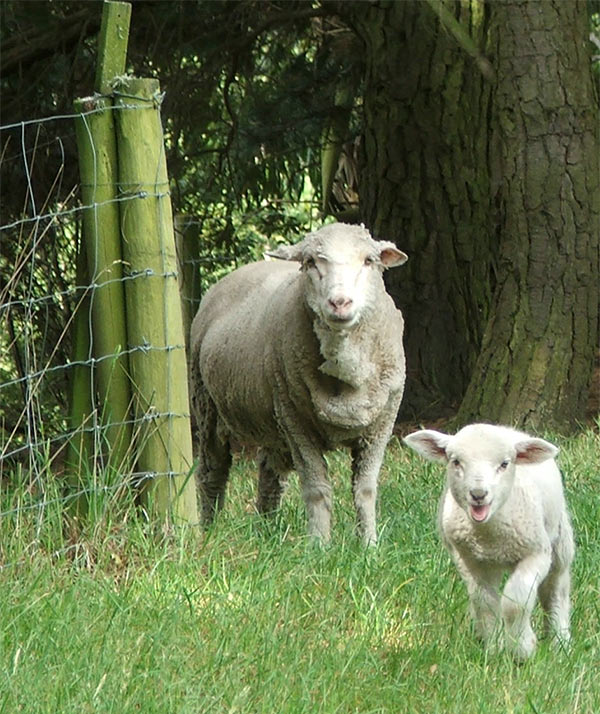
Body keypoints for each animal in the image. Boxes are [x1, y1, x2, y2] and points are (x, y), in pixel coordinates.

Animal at [191, 220, 408, 544]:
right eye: (311, 262)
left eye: (369, 261)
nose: (340, 303)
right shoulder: (297, 424)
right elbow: (317, 488)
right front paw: (319, 545)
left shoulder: (381, 425)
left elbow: (366, 489)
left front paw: (369, 544)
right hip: (209, 407)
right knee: (212, 472)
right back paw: (209, 531)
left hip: (273, 419)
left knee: (269, 473)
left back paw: (267, 533)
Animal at [400, 420, 576, 660]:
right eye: (456, 461)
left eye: (504, 464)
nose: (478, 494)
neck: (489, 534)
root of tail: (509, 429)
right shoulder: (470, 560)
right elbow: (485, 602)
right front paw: (493, 649)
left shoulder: (537, 553)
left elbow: (516, 601)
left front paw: (522, 649)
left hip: (559, 541)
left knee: (556, 589)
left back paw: (560, 641)